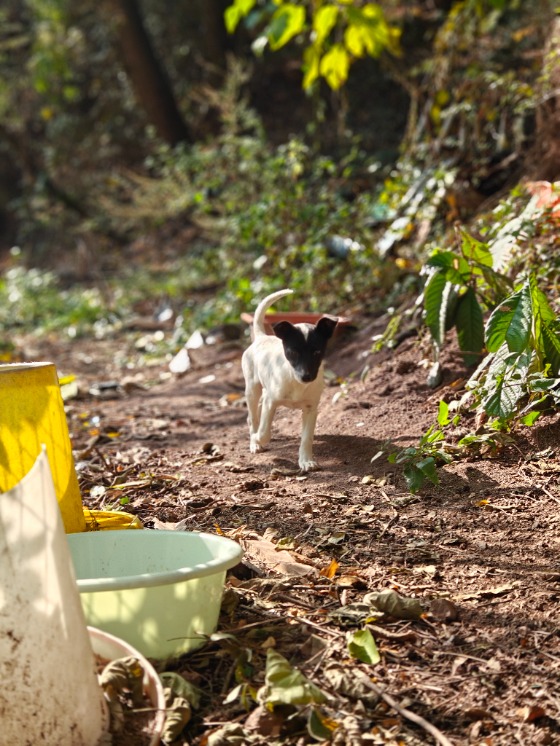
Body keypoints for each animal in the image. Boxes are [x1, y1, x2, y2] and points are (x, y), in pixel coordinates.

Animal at [241, 288, 336, 468]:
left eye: (317, 352)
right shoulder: (271, 402)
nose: (306, 376)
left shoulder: (311, 408)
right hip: (252, 389)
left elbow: (306, 438)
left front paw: (306, 461)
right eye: (293, 352)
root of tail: (261, 337)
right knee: (252, 418)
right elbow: (264, 432)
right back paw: (254, 442)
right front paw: (257, 439)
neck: (295, 382)